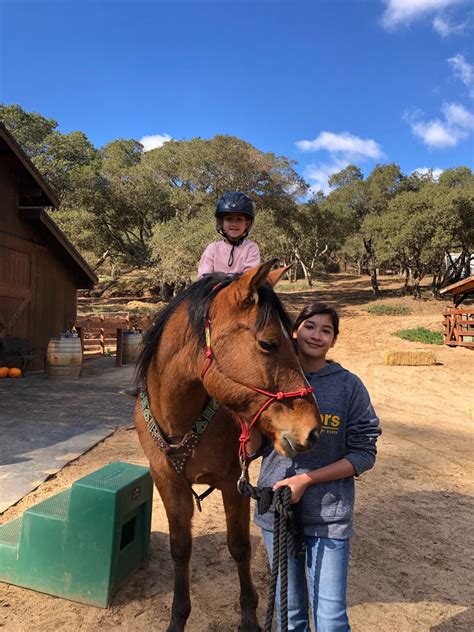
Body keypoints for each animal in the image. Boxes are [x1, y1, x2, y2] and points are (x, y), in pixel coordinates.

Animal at [134, 260, 322, 628]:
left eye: (293, 342)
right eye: (268, 343)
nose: (311, 430)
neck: (180, 421)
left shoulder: (233, 482)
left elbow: (239, 547)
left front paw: (249, 617)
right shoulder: (167, 482)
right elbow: (180, 548)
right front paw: (178, 617)